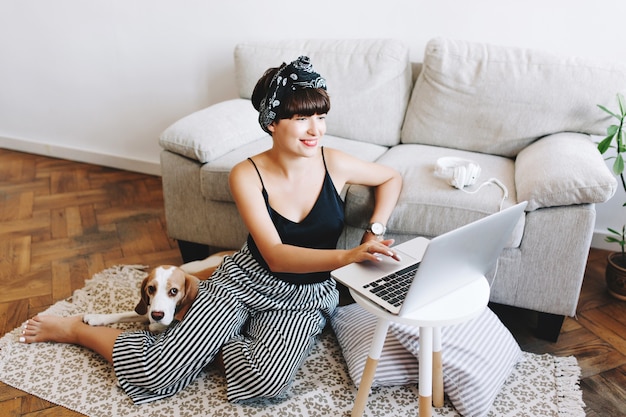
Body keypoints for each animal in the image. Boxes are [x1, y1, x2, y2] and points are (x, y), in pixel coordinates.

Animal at [83, 250, 234, 332]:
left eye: (174, 291)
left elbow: (156, 326)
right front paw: (97, 318)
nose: (157, 315)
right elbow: (123, 314)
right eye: (151, 288)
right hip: (187, 266)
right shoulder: (148, 310)